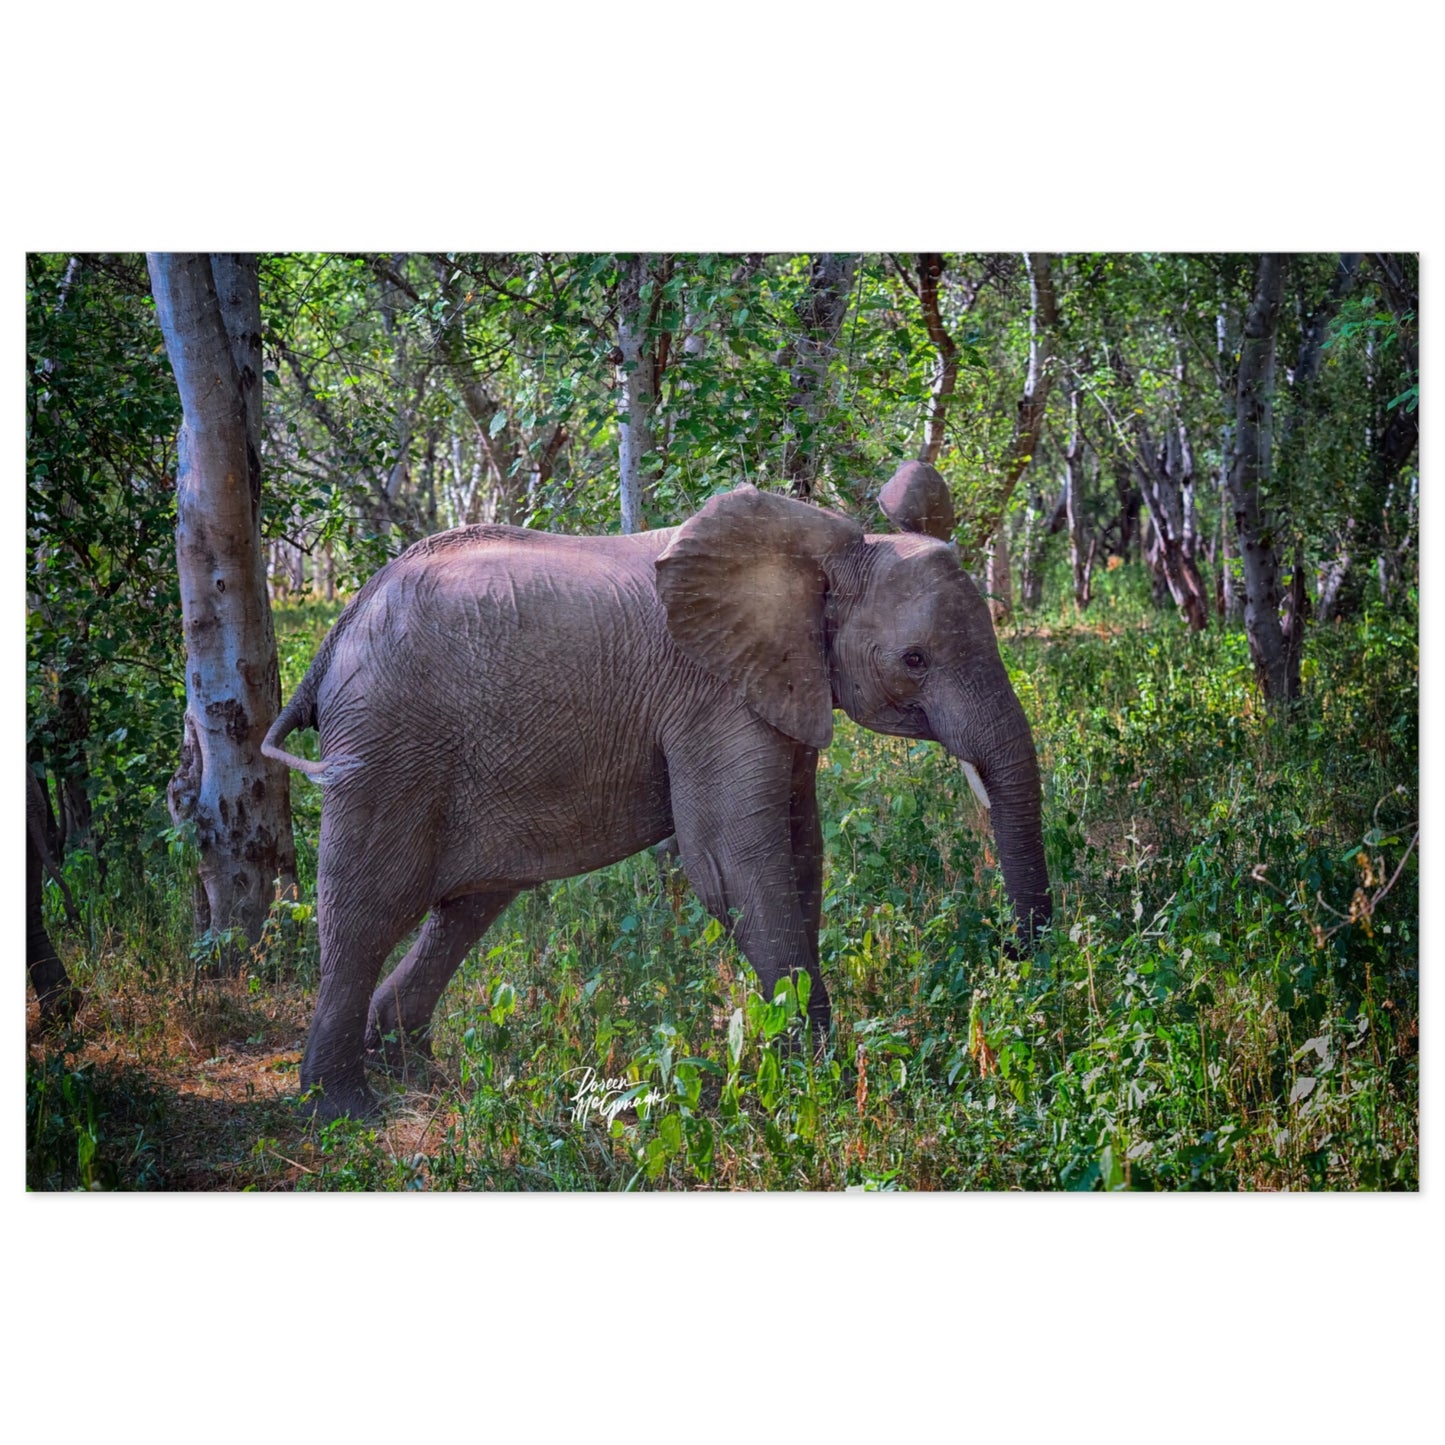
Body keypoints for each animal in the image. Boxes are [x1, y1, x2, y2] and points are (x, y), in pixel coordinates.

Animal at [263, 465, 1051, 1119]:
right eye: (914, 660)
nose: (1015, 960)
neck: (822, 556)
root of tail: (336, 634)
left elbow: (802, 852)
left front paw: (812, 1066)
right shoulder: (712, 694)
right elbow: (732, 863)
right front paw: (815, 1082)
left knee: (469, 905)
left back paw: (414, 1074)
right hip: (390, 742)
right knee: (368, 909)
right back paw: (344, 1109)